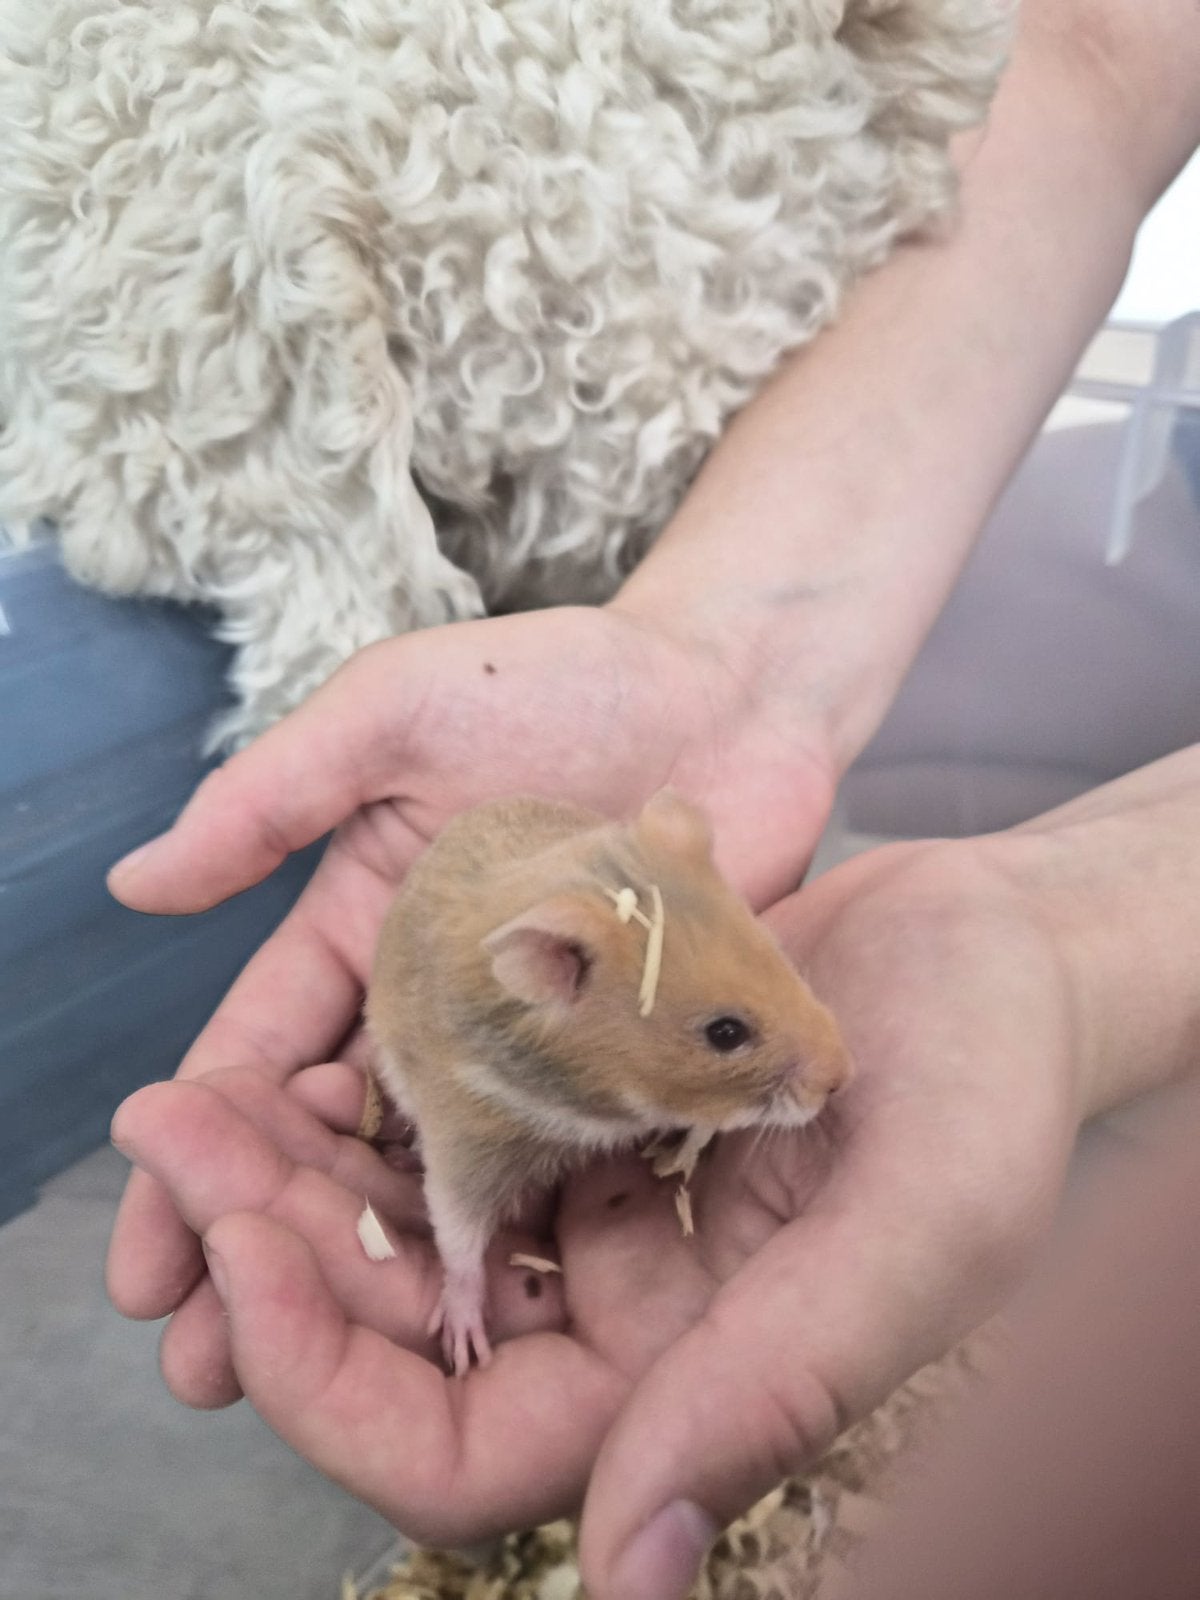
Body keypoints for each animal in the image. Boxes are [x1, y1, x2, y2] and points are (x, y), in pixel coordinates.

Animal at [365, 789, 850, 1375]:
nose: (843, 1076)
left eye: (776, 953)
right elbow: (456, 1236)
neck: (593, 1102)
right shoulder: (468, 1140)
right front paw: (465, 1349)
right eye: (726, 1033)